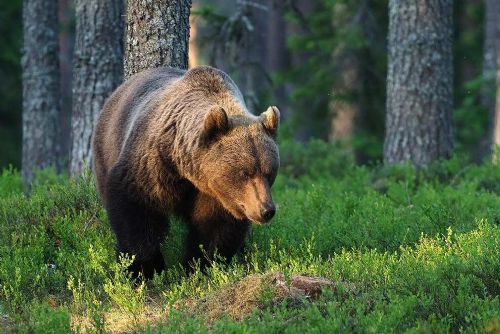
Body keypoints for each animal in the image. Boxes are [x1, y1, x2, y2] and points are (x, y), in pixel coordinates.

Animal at [92, 66, 280, 278]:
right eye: (245, 173)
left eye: (270, 173)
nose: (266, 210)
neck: (188, 171)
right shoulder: (153, 165)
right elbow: (136, 207)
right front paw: (145, 268)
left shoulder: (217, 194)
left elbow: (214, 227)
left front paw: (201, 266)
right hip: (106, 151)